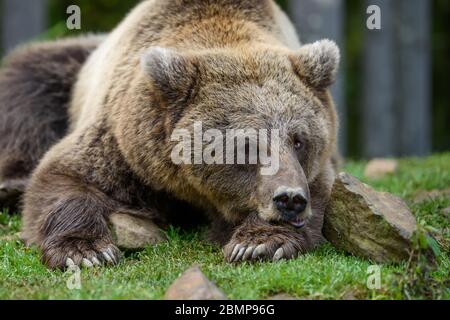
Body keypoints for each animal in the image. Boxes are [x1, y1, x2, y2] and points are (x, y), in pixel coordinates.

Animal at [0, 0, 340, 268]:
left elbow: (322, 190)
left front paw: (258, 244)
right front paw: (86, 251)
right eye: (246, 145)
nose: (289, 199)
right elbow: (66, 175)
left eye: (299, 140)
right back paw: (11, 186)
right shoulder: (124, 144)